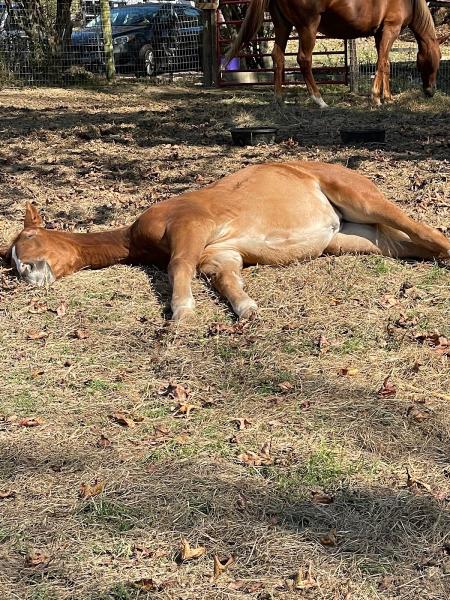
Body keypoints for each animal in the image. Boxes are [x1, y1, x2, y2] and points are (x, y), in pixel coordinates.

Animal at [225, 0, 440, 106]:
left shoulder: (381, 34)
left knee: (277, 56)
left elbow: (385, 64)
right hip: (308, 26)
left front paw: (387, 97)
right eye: (434, 62)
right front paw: (376, 98)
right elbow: (381, 63)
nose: (431, 91)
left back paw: (279, 99)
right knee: (304, 59)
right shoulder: (390, 30)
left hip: (282, 25)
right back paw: (319, 100)